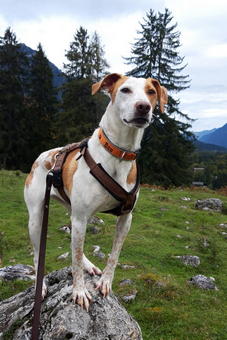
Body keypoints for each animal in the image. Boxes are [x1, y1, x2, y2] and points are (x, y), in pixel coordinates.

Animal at [24, 73, 167, 310]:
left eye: (151, 92)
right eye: (125, 90)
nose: (143, 107)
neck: (119, 153)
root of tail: (43, 156)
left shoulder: (125, 218)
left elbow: (113, 255)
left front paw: (106, 282)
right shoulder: (80, 217)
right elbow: (74, 258)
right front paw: (79, 291)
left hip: (73, 212)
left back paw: (88, 265)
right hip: (37, 217)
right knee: (38, 255)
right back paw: (41, 286)